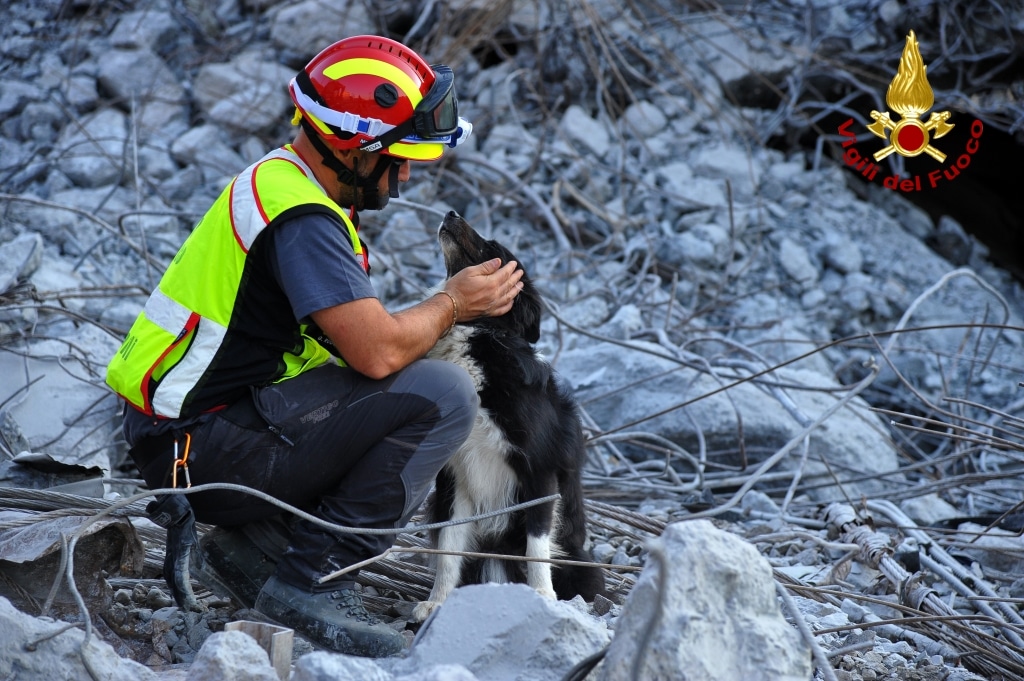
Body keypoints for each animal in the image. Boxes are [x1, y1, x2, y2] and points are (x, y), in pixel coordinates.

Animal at [413, 213, 606, 622]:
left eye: (493, 248)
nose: (451, 213)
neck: (479, 338)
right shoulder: (454, 476)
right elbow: (450, 544)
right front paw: (437, 601)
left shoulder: (539, 471)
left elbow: (537, 546)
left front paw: (542, 597)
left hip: (582, 565)